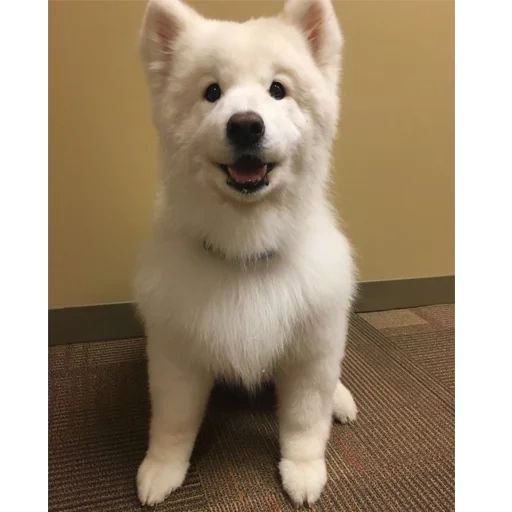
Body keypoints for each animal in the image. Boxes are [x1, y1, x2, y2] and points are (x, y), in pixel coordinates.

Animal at [134, 0, 358, 504]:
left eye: (278, 90)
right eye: (212, 92)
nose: (245, 125)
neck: (246, 251)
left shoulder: (310, 351)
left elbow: (305, 420)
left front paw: (303, 471)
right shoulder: (175, 354)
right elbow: (172, 423)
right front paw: (162, 469)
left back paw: (341, 398)